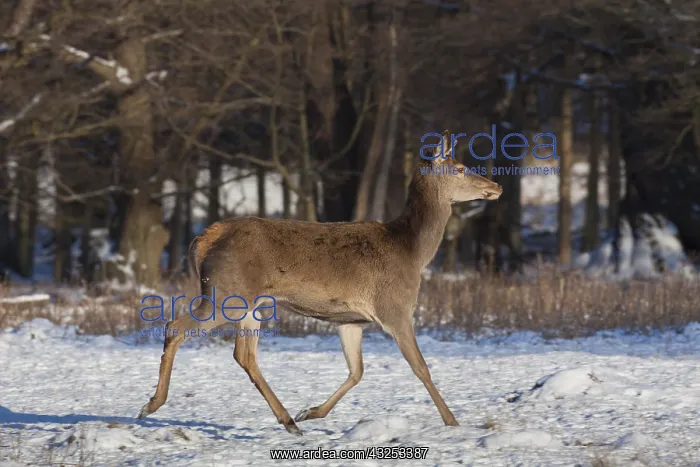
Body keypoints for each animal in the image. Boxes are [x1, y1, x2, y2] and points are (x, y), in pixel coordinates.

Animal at [136, 130, 503, 435]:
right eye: (460, 169)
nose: (496, 187)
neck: (413, 252)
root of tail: (203, 239)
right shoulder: (395, 308)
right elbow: (421, 367)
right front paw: (452, 421)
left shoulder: (351, 320)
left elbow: (357, 371)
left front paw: (311, 412)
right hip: (225, 293)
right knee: (175, 326)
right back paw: (151, 404)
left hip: (249, 303)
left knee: (244, 355)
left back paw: (289, 421)